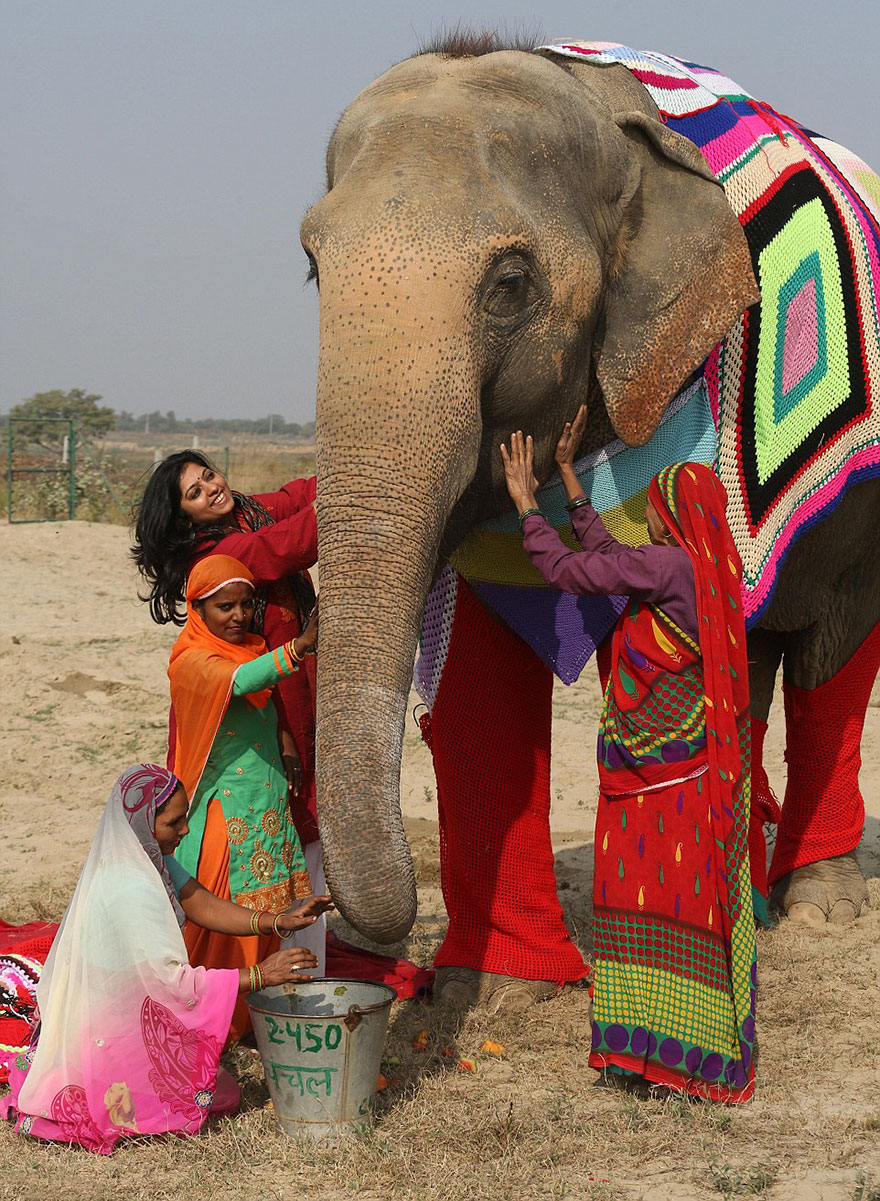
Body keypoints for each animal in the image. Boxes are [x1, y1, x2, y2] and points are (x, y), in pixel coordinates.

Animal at [300, 34, 880, 1001]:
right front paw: (496, 987)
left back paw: (818, 908)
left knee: (833, 648)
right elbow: (476, 674)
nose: (384, 945)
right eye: (311, 266)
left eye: (509, 284)